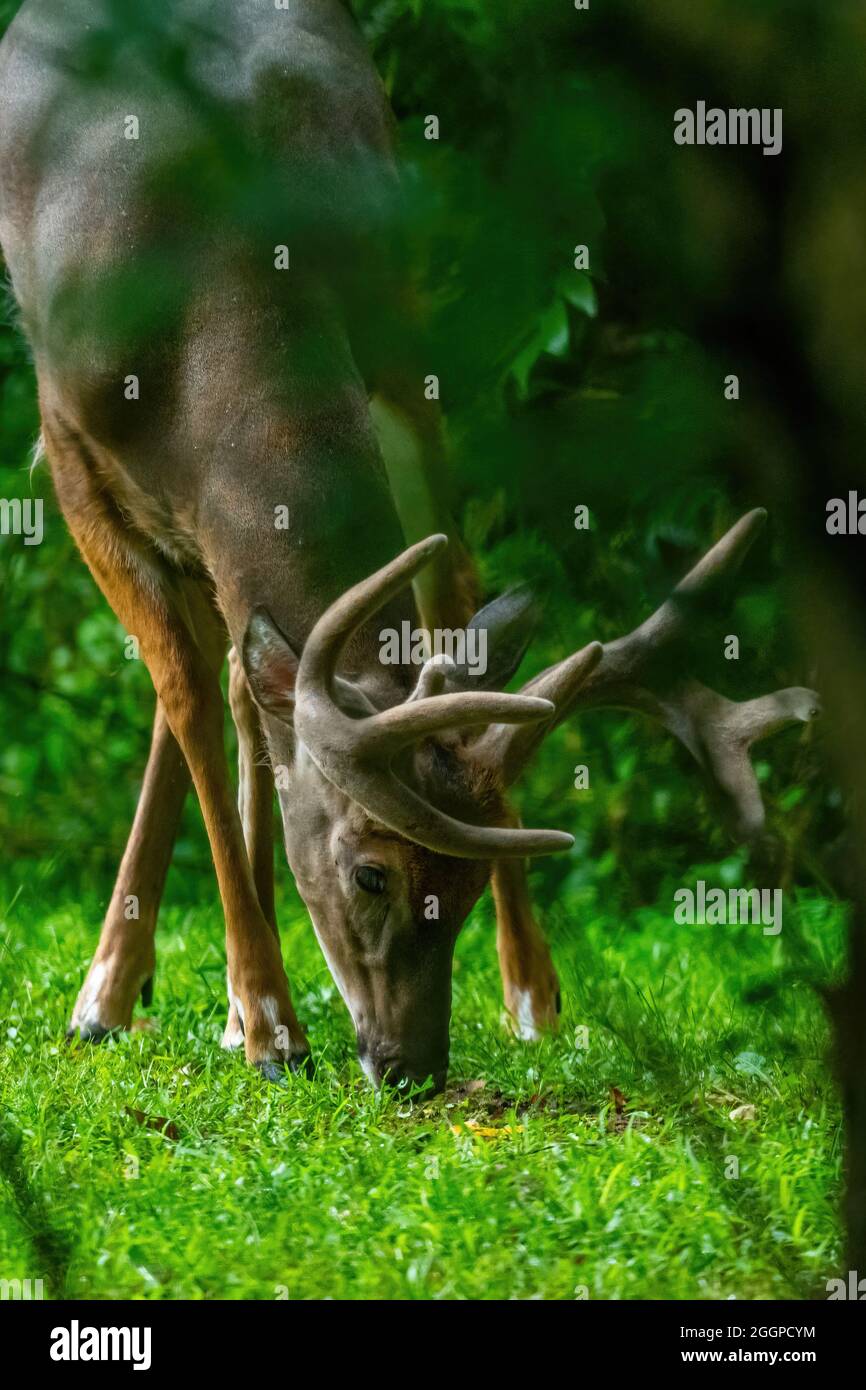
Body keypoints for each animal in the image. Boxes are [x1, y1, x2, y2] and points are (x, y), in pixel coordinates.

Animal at [0, 0, 819, 1092]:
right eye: (371, 872)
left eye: (474, 873)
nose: (412, 1064)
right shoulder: (65, 438)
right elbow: (182, 692)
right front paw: (270, 1025)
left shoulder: (399, 352)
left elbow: (439, 602)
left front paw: (521, 993)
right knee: (214, 681)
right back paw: (119, 997)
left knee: (270, 664)